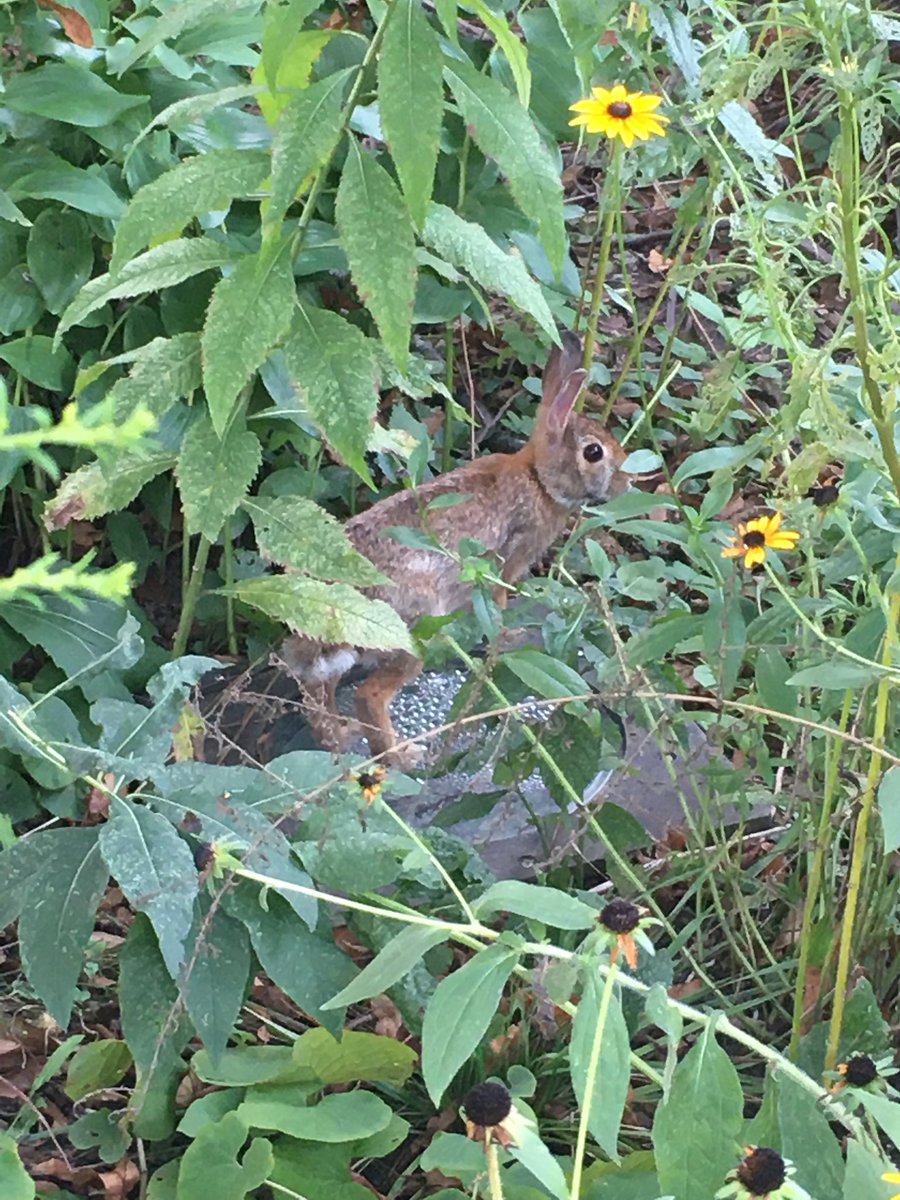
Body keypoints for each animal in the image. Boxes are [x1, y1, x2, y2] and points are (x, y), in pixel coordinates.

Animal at [280, 330, 632, 767]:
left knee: (318, 693)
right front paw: (508, 636)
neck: (538, 479)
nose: (628, 483)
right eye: (593, 452)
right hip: (414, 631)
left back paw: (340, 738)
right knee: (369, 695)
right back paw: (402, 756)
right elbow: (498, 605)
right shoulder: (506, 563)